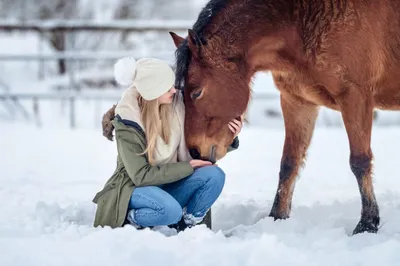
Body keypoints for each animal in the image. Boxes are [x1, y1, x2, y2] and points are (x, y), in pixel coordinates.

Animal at [167, 0, 400, 235]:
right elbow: (289, 163)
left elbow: (359, 161)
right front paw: (277, 216)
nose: (195, 151)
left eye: (197, 92)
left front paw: (367, 223)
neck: (302, 23)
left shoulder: (355, 97)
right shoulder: (297, 101)